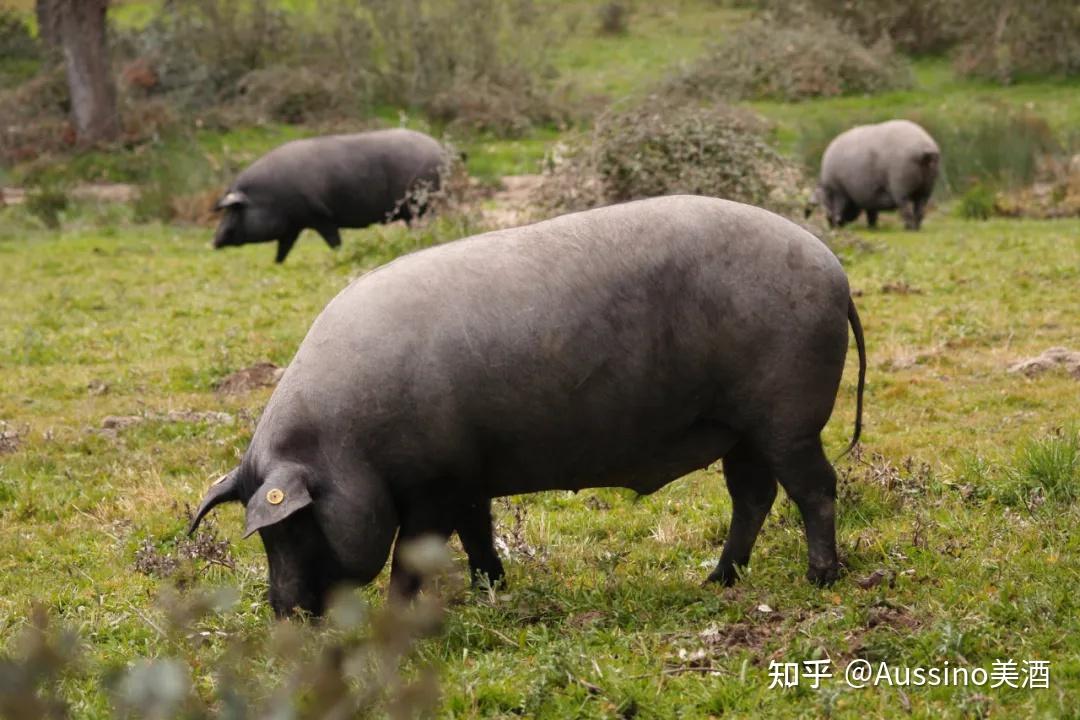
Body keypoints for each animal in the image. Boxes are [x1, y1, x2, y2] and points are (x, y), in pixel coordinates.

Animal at [192, 194, 868, 617]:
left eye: (293, 526)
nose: (283, 613)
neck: (346, 444)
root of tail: (835, 272)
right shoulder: (468, 473)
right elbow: (478, 532)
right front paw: (492, 588)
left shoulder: (434, 482)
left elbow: (415, 554)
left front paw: (397, 612)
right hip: (739, 429)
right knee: (753, 495)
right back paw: (717, 579)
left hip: (787, 415)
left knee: (814, 488)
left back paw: (820, 578)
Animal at [210, 130, 447, 264]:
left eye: (234, 209)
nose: (214, 241)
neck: (270, 198)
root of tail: (439, 148)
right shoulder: (294, 225)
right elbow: (283, 248)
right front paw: (275, 264)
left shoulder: (319, 215)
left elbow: (334, 241)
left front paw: (339, 256)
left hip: (421, 200)